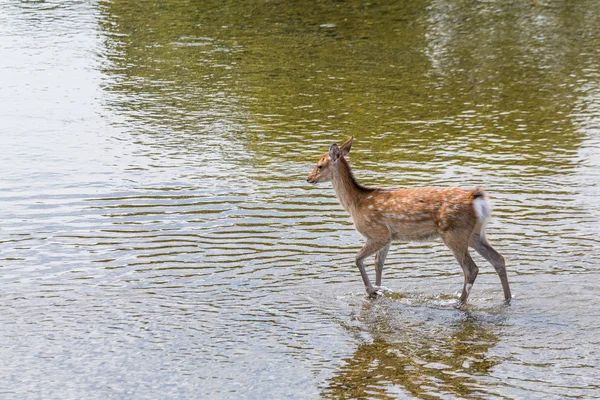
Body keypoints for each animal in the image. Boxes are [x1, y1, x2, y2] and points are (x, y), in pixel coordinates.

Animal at [310, 138, 510, 304]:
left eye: (319, 165)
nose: (308, 178)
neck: (356, 204)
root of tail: (475, 198)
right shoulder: (388, 237)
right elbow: (378, 264)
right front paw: (379, 290)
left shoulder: (377, 233)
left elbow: (358, 258)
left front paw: (371, 291)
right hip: (476, 233)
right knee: (498, 259)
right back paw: (507, 299)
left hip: (454, 233)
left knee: (471, 269)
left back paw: (459, 303)